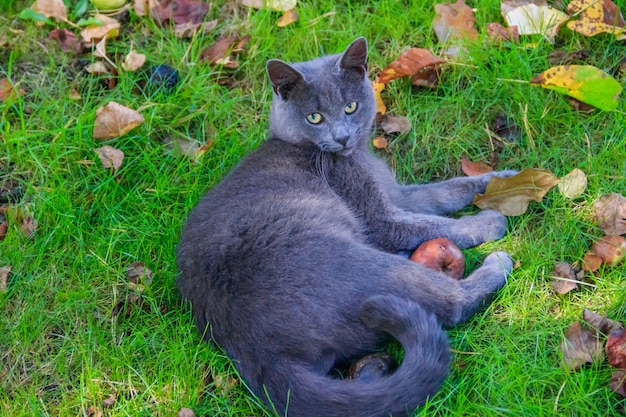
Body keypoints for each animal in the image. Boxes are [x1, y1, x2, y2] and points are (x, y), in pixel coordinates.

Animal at [178, 37, 516, 414]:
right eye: (315, 116)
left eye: (351, 107)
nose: (341, 137)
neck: (356, 158)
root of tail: (255, 351)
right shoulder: (377, 216)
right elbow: (432, 224)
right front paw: (490, 220)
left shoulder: (397, 193)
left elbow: (446, 191)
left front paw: (504, 180)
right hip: (362, 268)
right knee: (451, 303)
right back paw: (498, 261)